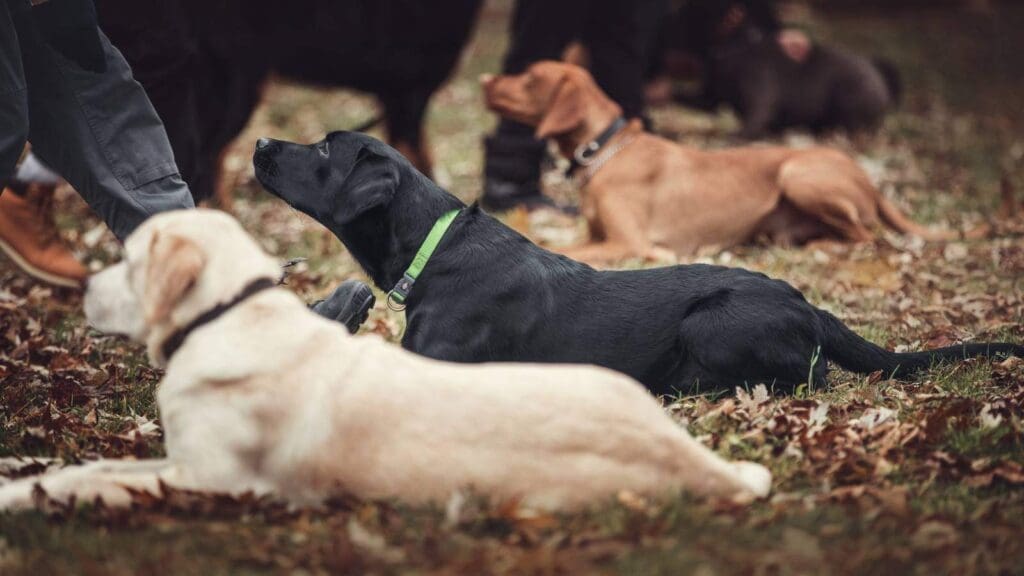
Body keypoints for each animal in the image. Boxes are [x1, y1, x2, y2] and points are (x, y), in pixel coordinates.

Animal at [251, 133, 1019, 393]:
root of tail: (810, 304)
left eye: (325, 149)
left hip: (715, 323)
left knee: (812, 375)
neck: (435, 248)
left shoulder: (434, 362)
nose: (259, 142)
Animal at [479, 60, 942, 262]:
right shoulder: (599, 235)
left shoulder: (627, 244)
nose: (484, 79)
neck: (606, 152)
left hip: (798, 173)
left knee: (868, 237)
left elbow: (556, 247)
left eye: (530, 77)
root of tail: (867, 178)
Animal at [659, 0, 901, 138]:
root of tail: (879, 74)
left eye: (689, 12)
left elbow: (752, 121)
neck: (734, 47)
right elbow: (684, 95)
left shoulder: (758, 98)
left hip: (850, 100)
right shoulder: (710, 98)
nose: (668, 18)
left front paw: (736, 137)